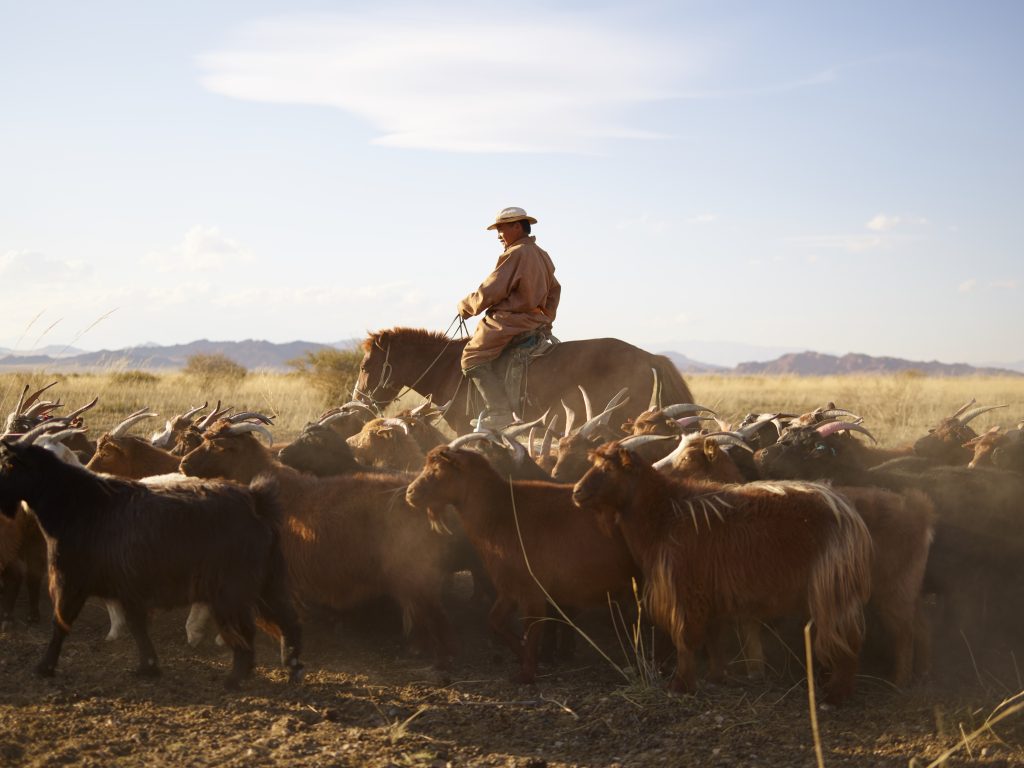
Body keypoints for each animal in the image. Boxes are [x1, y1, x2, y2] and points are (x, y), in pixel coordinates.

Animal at [403, 444, 634, 684]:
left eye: (438, 469)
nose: (410, 493)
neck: (502, 512)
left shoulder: (531, 588)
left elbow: (532, 627)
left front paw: (527, 672)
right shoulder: (509, 586)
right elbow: (495, 621)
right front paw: (523, 655)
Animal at [573, 444, 868, 704]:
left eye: (608, 469)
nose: (576, 492)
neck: (666, 514)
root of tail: (846, 509)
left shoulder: (686, 590)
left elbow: (686, 640)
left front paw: (680, 685)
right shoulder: (710, 591)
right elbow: (714, 639)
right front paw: (716, 678)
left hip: (831, 587)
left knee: (847, 637)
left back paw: (836, 695)